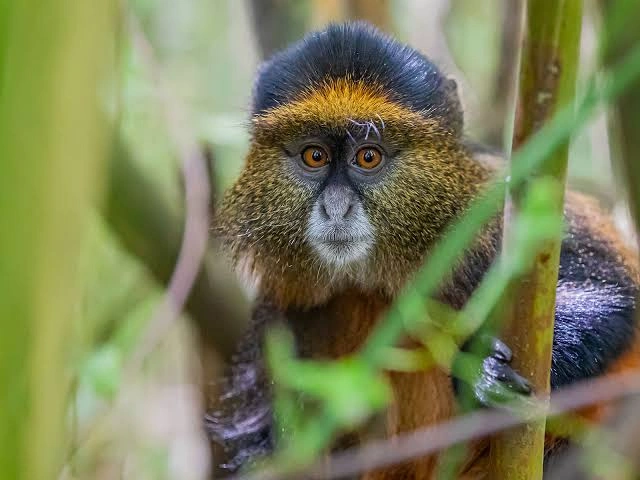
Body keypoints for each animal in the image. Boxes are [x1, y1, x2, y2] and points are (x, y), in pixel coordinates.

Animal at [208, 22, 640, 479]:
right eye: (314, 156)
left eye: (368, 156)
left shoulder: (498, 213)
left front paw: (482, 372)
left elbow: (613, 296)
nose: (336, 208)